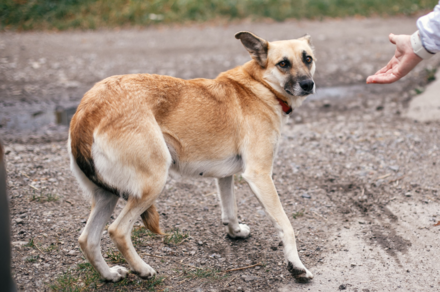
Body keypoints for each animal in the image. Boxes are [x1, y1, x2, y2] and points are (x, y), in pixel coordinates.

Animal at [68, 31, 316, 282]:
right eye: (283, 64)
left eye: (308, 59)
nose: (308, 84)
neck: (260, 86)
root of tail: (87, 110)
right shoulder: (259, 175)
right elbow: (286, 226)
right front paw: (297, 266)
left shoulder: (225, 176)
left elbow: (230, 210)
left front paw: (235, 232)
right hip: (152, 183)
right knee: (117, 231)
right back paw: (143, 269)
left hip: (106, 196)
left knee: (87, 240)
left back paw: (109, 274)